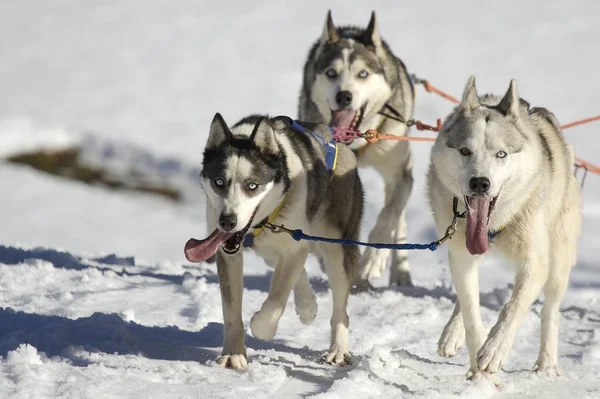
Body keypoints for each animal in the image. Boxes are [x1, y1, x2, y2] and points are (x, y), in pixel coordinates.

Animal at [184, 112, 360, 368]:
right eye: (219, 182)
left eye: (252, 185)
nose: (227, 221)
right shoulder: (229, 255)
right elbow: (231, 311)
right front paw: (233, 354)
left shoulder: (295, 246)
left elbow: (277, 299)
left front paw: (261, 327)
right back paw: (307, 305)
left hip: (336, 249)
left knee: (339, 307)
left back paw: (337, 350)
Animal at [298, 10, 414, 286]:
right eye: (331, 73)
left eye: (363, 74)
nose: (344, 96)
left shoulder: (401, 172)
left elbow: (388, 215)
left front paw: (373, 261)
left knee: (398, 215)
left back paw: (400, 271)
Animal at [426, 76, 580, 380]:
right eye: (465, 151)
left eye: (501, 154)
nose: (480, 183)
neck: (496, 224)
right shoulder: (461, 255)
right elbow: (471, 314)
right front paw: (477, 371)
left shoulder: (535, 263)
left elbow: (514, 306)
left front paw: (494, 350)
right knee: (465, 297)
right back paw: (452, 333)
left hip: (559, 262)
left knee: (550, 311)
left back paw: (547, 364)